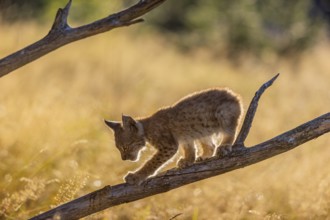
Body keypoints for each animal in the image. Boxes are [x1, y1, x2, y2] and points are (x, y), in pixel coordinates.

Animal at [105, 88, 242, 185]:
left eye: (125, 147)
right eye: (119, 148)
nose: (124, 159)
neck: (146, 130)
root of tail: (234, 94)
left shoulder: (168, 146)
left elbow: (152, 162)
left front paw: (136, 177)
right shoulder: (185, 136)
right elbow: (189, 148)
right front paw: (188, 160)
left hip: (223, 113)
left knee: (230, 131)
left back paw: (224, 146)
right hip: (202, 129)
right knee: (211, 145)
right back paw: (203, 156)